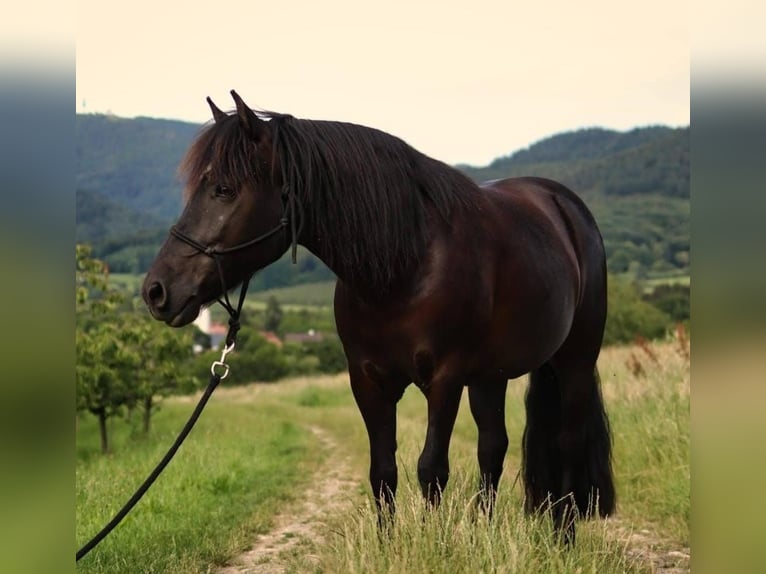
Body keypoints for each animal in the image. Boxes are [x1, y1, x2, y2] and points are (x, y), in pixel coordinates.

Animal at [142, 91, 615, 541]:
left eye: (224, 189)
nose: (156, 290)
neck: (403, 265)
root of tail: (564, 206)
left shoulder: (444, 379)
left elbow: (431, 469)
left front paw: (433, 547)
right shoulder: (368, 382)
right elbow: (383, 472)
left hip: (573, 361)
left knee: (567, 442)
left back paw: (564, 539)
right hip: (489, 376)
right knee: (493, 447)